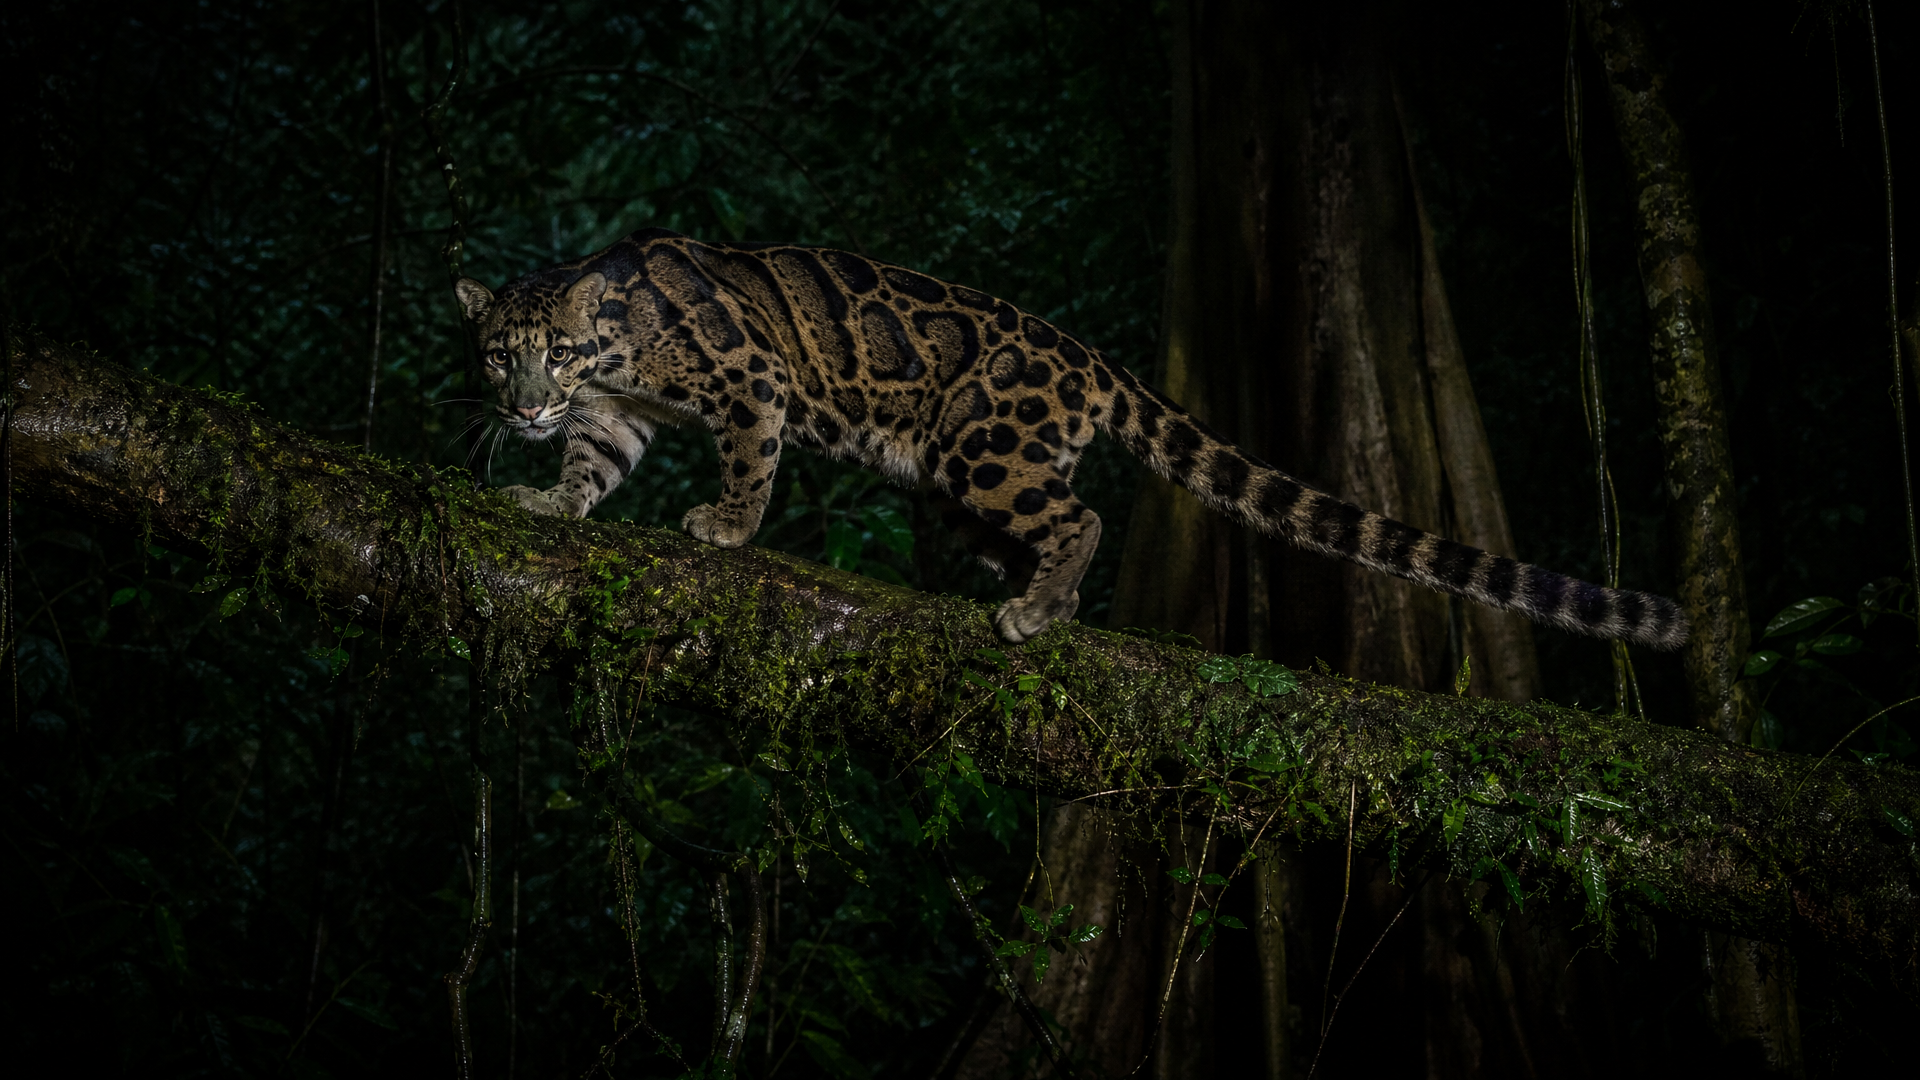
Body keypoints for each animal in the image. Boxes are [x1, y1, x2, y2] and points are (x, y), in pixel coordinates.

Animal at [454, 227, 1687, 650]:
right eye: (497, 356)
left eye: (551, 351)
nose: (519, 407)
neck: (611, 353)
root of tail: (1091, 359)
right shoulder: (608, 417)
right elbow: (592, 465)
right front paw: (550, 500)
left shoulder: (751, 376)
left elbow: (751, 458)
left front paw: (722, 524)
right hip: (966, 481)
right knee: (1047, 522)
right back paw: (1034, 591)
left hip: (982, 449)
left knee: (1084, 514)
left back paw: (1038, 608)